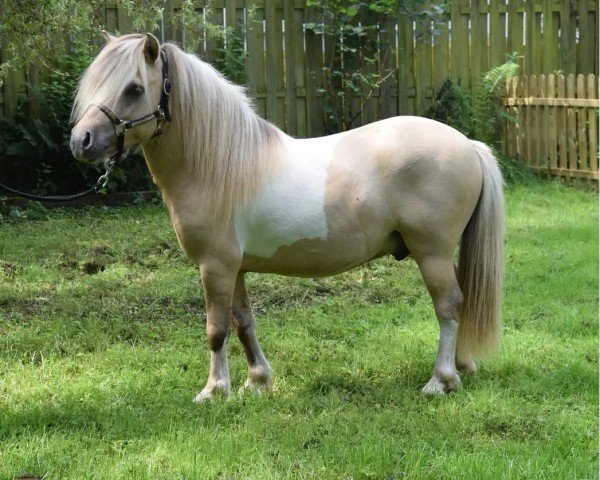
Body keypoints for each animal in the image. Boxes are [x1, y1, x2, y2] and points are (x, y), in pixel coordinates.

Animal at [69, 34, 506, 402]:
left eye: (134, 88)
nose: (81, 141)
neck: (220, 165)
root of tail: (467, 144)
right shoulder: (234, 268)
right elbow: (243, 323)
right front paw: (256, 381)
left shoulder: (214, 267)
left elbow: (216, 329)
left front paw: (214, 390)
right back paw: (463, 365)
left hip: (431, 253)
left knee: (448, 305)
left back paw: (441, 380)